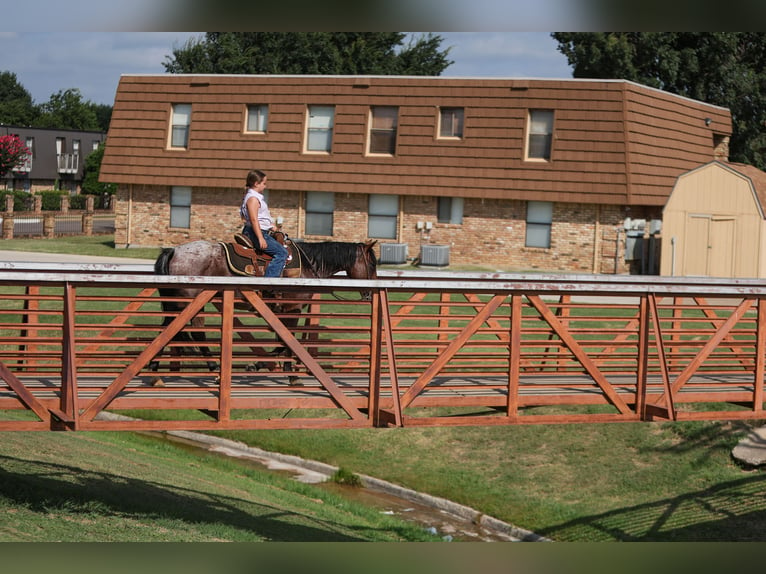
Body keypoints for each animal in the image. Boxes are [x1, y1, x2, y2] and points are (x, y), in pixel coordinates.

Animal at [149, 235, 378, 388]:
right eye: (372, 264)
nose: (369, 294)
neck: (307, 266)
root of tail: (175, 251)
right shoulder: (293, 308)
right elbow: (287, 341)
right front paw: (286, 374)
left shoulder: (283, 310)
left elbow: (283, 340)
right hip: (188, 302)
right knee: (187, 333)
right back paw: (212, 370)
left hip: (183, 303)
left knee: (172, 331)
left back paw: (156, 372)